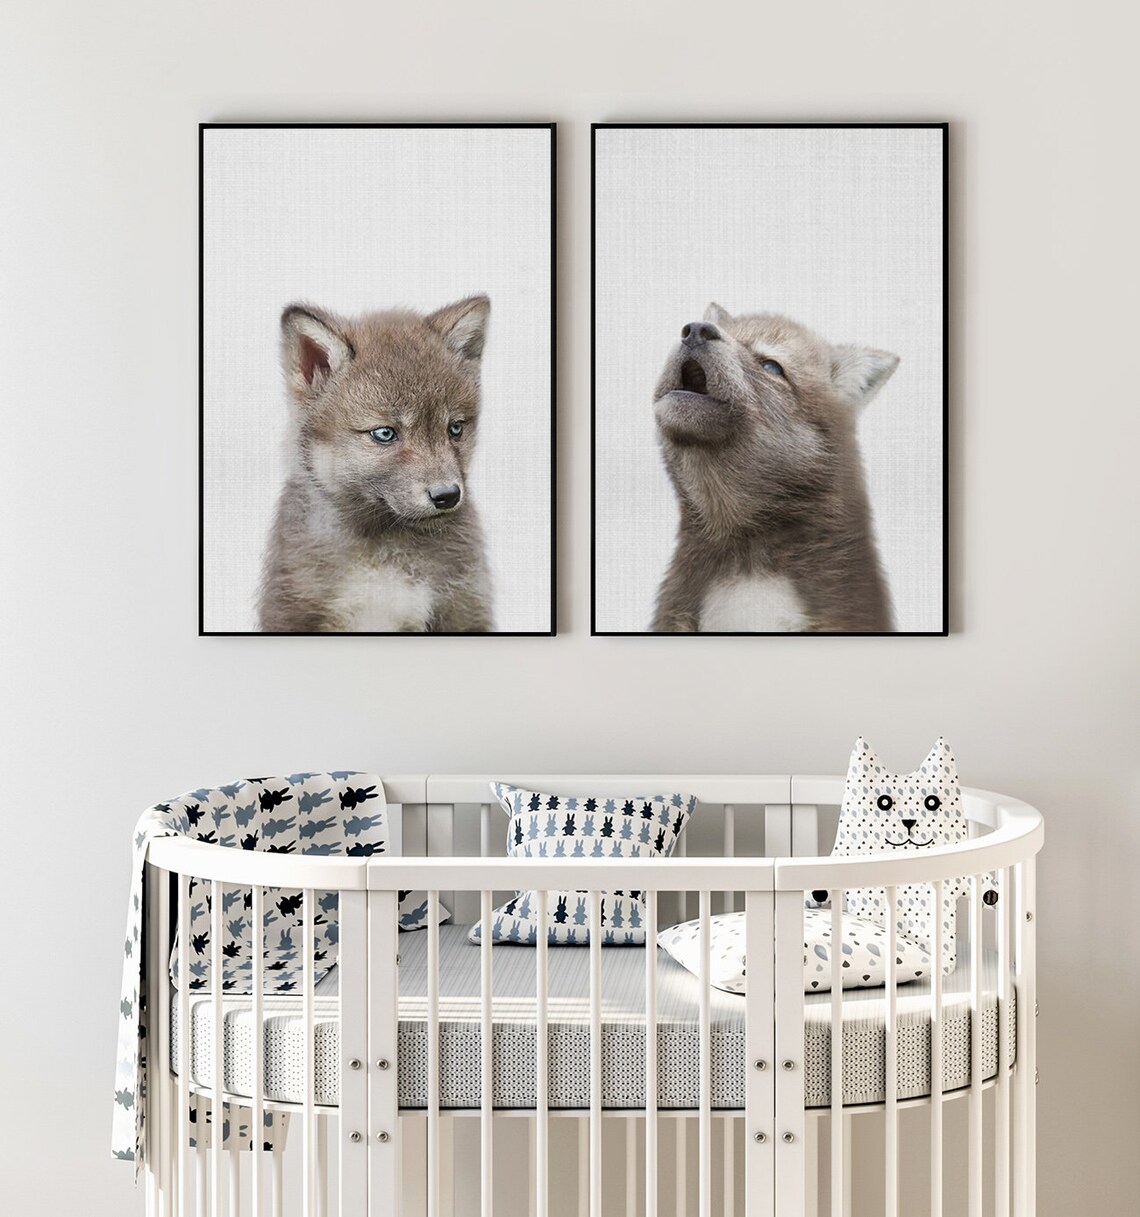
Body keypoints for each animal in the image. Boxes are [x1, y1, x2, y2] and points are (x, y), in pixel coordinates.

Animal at [258, 295, 494, 632]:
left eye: (455, 428)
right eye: (384, 433)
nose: (447, 496)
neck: (383, 554)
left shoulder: (462, 609)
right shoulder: (293, 611)